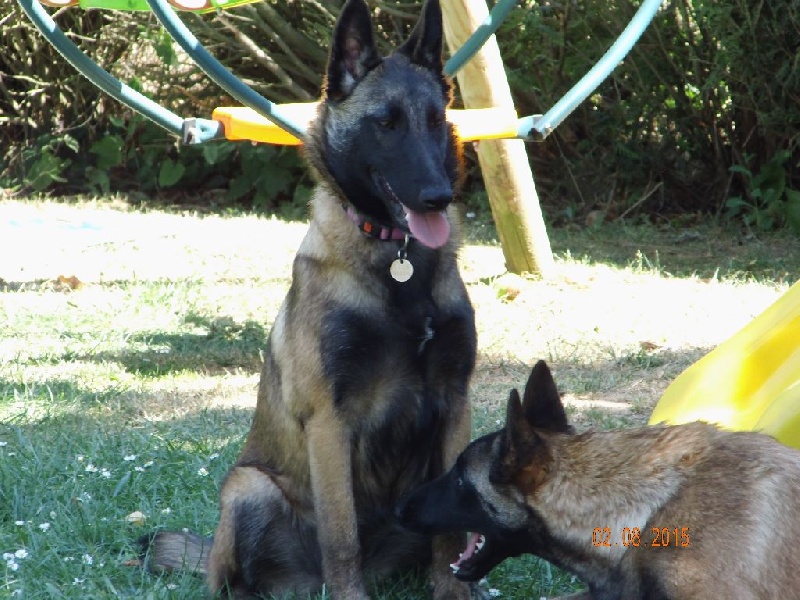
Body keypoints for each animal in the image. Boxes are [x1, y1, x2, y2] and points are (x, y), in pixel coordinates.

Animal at [142, 1, 477, 598]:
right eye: (386, 123)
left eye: (436, 119)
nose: (438, 196)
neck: (397, 264)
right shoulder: (330, 420)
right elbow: (340, 535)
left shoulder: (454, 400)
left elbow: (450, 535)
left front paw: (455, 591)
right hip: (248, 488)